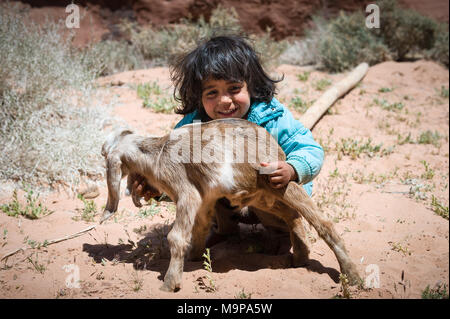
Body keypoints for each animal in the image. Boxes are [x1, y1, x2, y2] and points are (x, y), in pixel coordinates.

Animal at [100, 118, 360, 292]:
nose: (102, 149)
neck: (156, 153)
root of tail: (275, 147)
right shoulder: (205, 201)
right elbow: (199, 229)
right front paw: (195, 258)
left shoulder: (186, 192)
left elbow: (176, 236)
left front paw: (169, 283)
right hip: (262, 200)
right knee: (292, 215)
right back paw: (300, 257)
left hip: (279, 183)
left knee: (323, 222)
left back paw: (353, 276)